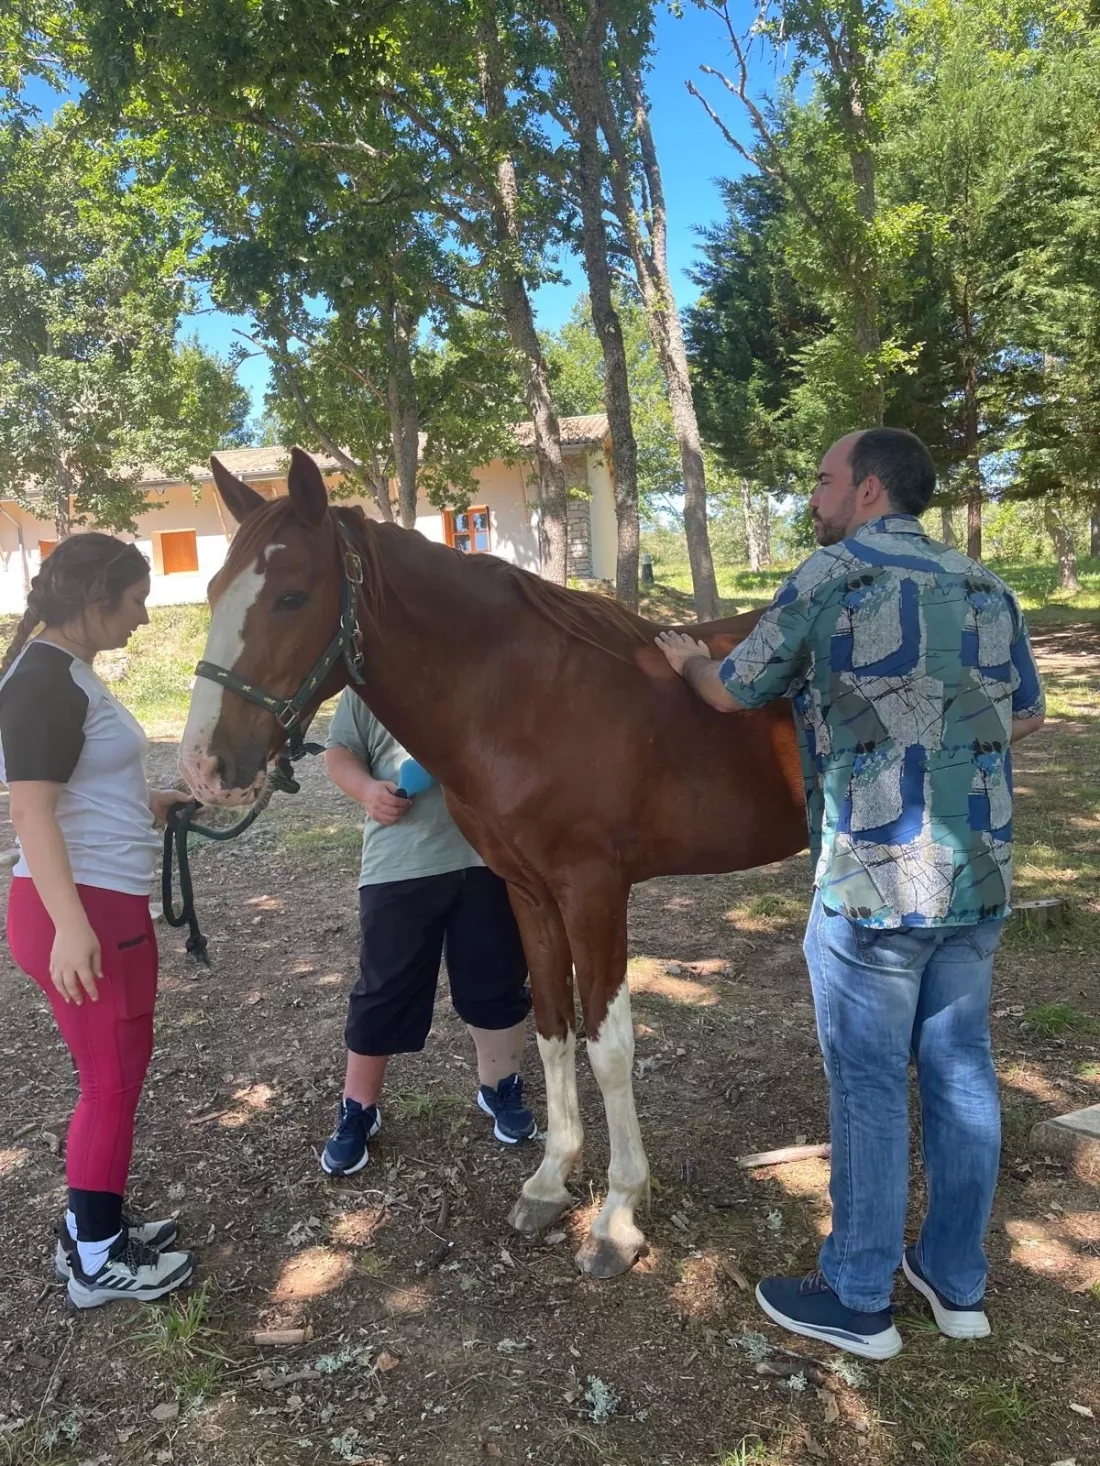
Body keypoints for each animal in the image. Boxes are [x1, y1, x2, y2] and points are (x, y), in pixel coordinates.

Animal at [179, 447, 807, 1279]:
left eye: (290, 595)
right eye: (214, 589)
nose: (203, 767)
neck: (528, 697)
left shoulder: (594, 892)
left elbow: (609, 1047)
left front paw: (618, 1215)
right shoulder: (528, 894)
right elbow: (549, 1028)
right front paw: (549, 1182)